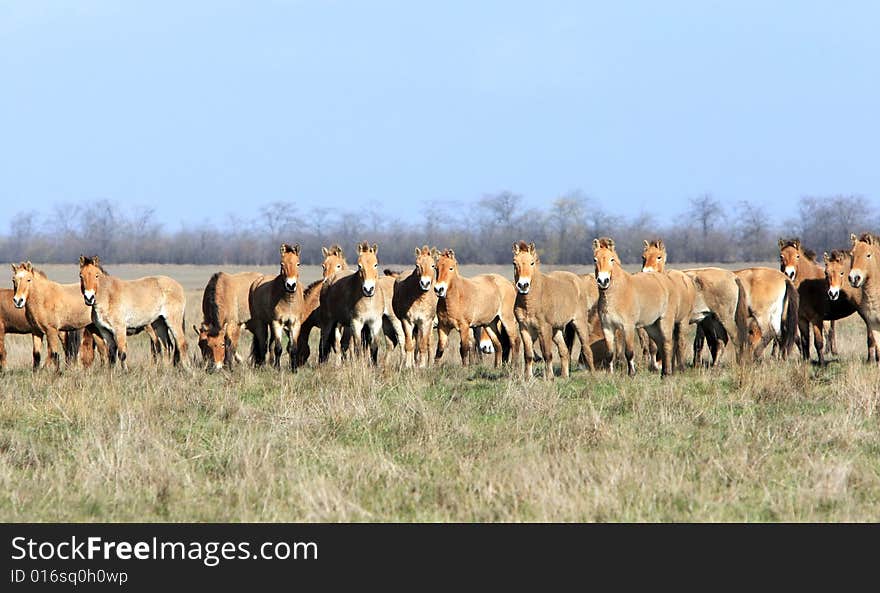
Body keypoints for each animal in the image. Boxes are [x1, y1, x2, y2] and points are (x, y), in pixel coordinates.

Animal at [512, 242, 596, 376]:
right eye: (515, 263)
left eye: (532, 263)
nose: (523, 285)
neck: (531, 302)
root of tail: (577, 280)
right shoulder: (524, 328)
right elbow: (528, 355)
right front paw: (527, 377)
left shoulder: (544, 328)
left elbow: (547, 354)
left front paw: (549, 378)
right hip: (557, 329)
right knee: (564, 351)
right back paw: (565, 376)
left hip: (579, 322)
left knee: (586, 348)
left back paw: (592, 375)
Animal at [596, 236, 676, 374]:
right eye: (595, 259)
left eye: (659, 257)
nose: (602, 281)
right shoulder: (608, 327)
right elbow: (611, 353)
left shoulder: (630, 326)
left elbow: (632, 351)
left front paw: (633, 372)